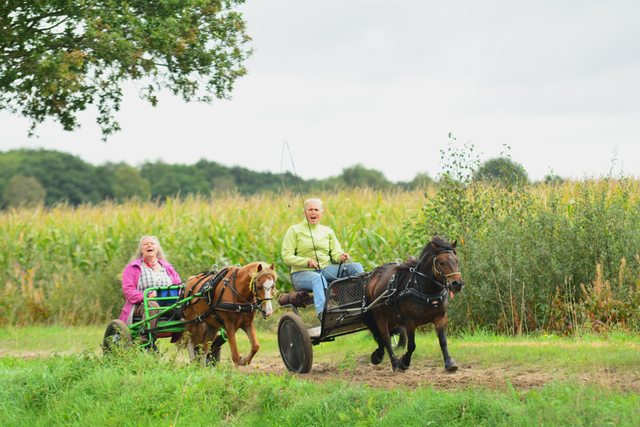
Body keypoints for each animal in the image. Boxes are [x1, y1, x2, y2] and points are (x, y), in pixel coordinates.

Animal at [364, 237, 464, 372]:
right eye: (441, 262)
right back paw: (394, 362)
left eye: (456, 260)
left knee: (382, 337)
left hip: (391, 318)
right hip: (379, 315)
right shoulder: (410, 322)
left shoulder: (441, 317)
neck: (426, 290)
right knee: (386, 337)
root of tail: (373, 275)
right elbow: (412, 345)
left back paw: (378, 355)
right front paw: (403, 362)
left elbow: (443, 341)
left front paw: (450, 362)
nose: (458, 284)